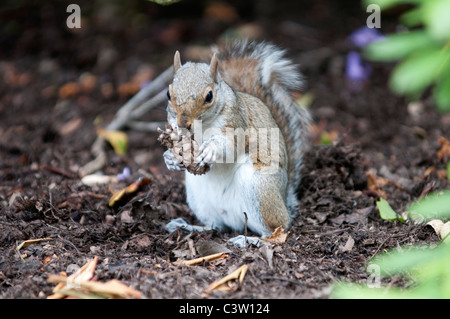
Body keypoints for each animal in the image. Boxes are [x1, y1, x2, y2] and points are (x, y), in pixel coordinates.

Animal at [161, 40, 310, 238]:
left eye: (209, 96)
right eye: (168, 94)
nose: (183, 123)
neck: (202, 126)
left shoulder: (237, 123)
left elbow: (230, 147)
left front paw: (210, 149)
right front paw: (169, 158)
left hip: (259, 189)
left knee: (277, 228)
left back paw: (249, 240)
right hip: (198, 196)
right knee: (216, 226)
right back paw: (189, 227)